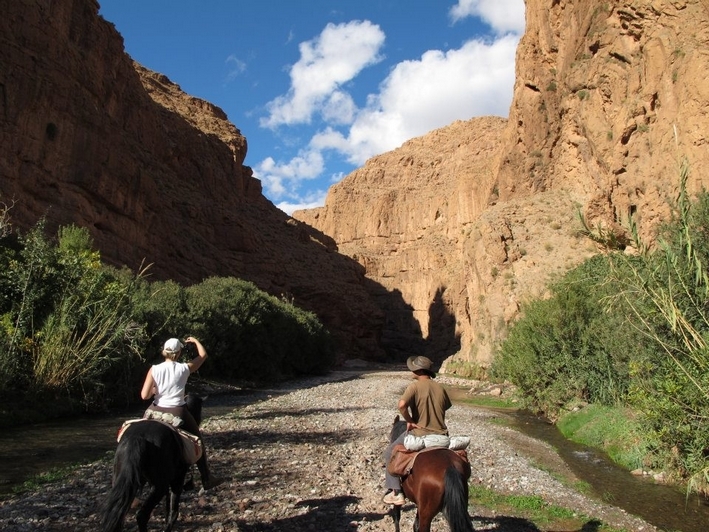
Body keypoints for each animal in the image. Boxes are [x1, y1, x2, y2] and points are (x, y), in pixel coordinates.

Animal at [98, 394, 202, 532]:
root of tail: (137, 438)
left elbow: (167, 506)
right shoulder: (177, 478)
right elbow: (173, 509)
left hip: (125, 483)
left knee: (119, 514)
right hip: (159, 486)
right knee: (141, 515)